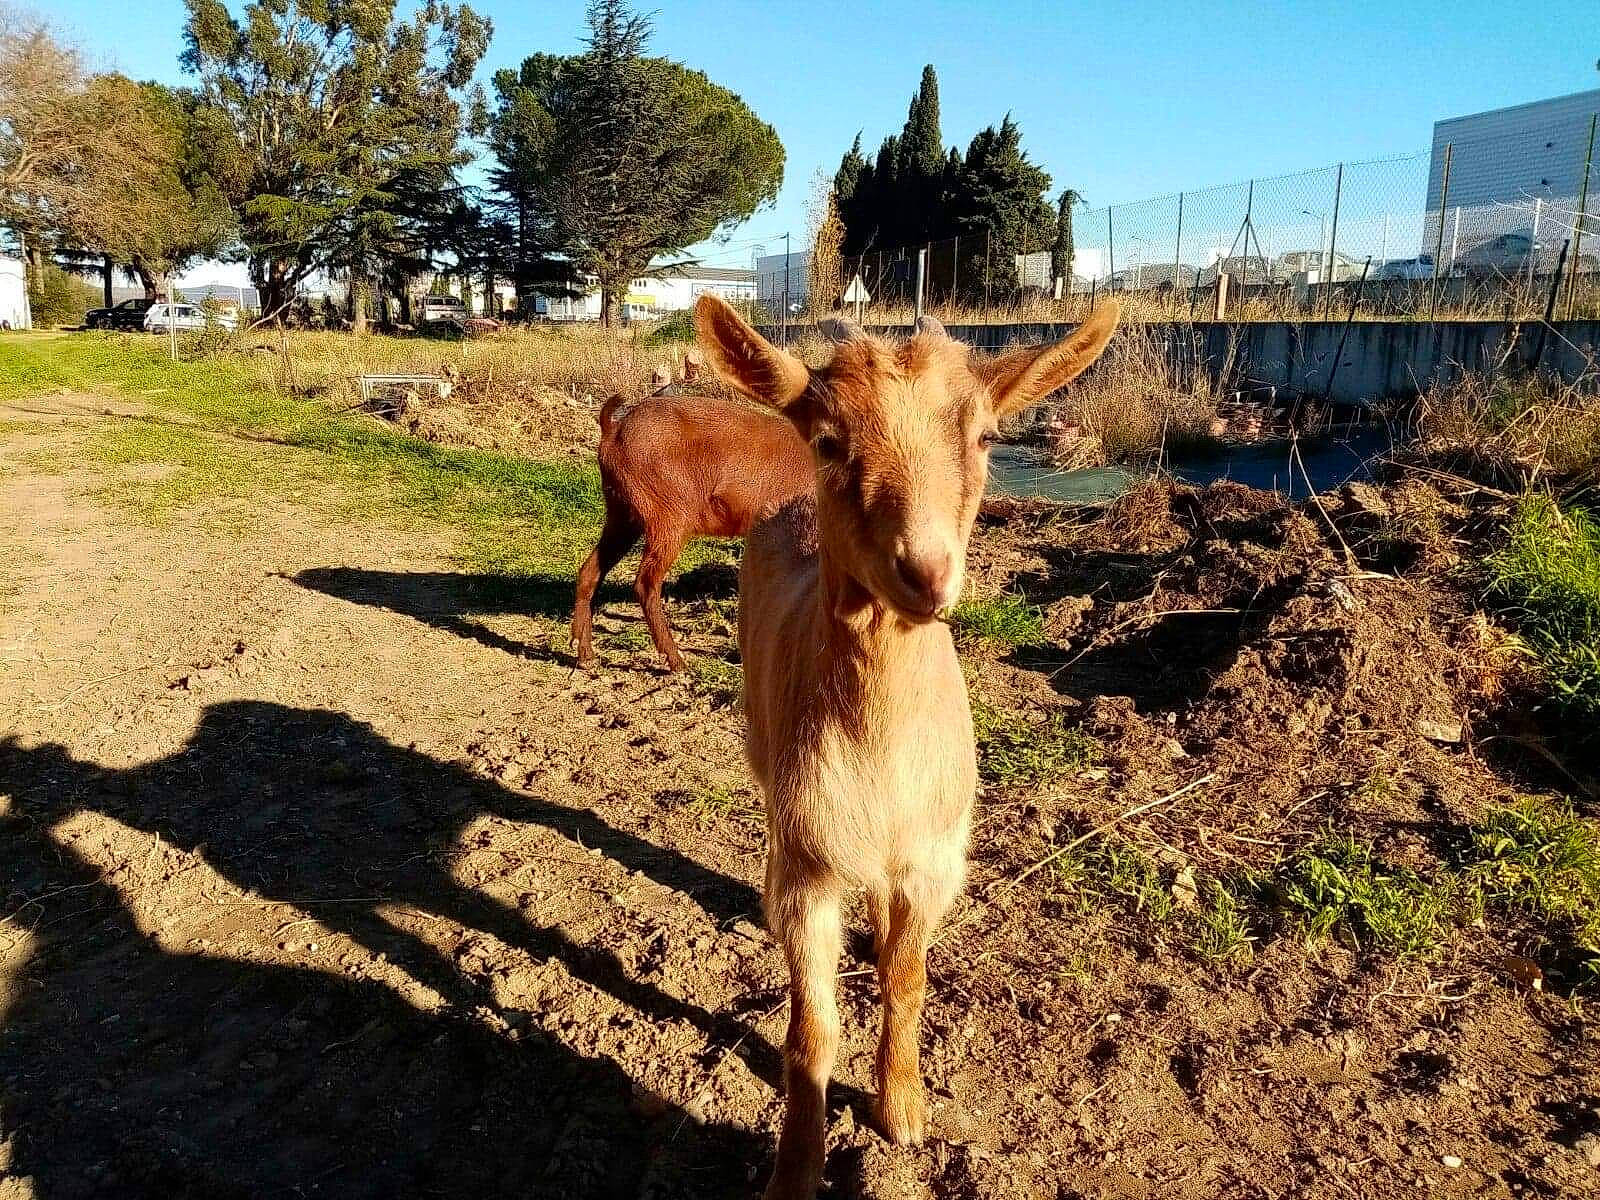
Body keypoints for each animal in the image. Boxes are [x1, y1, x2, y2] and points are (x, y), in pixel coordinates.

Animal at [570, 388, 813, 671]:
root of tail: (614, 428)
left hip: (622, 512)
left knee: (590, 571)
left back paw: (585, 655)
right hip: (669, 515)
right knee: (645, 582)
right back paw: (676, 660)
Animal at [692, 294, 1121, 1200]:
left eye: (987, 436)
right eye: (827, 440)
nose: (925, 571)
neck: (880, 760)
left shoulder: (932, 859)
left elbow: (907, 980)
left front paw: (902, 1113)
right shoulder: (810, 870)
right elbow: (811, 1032)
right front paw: (796, 1167)